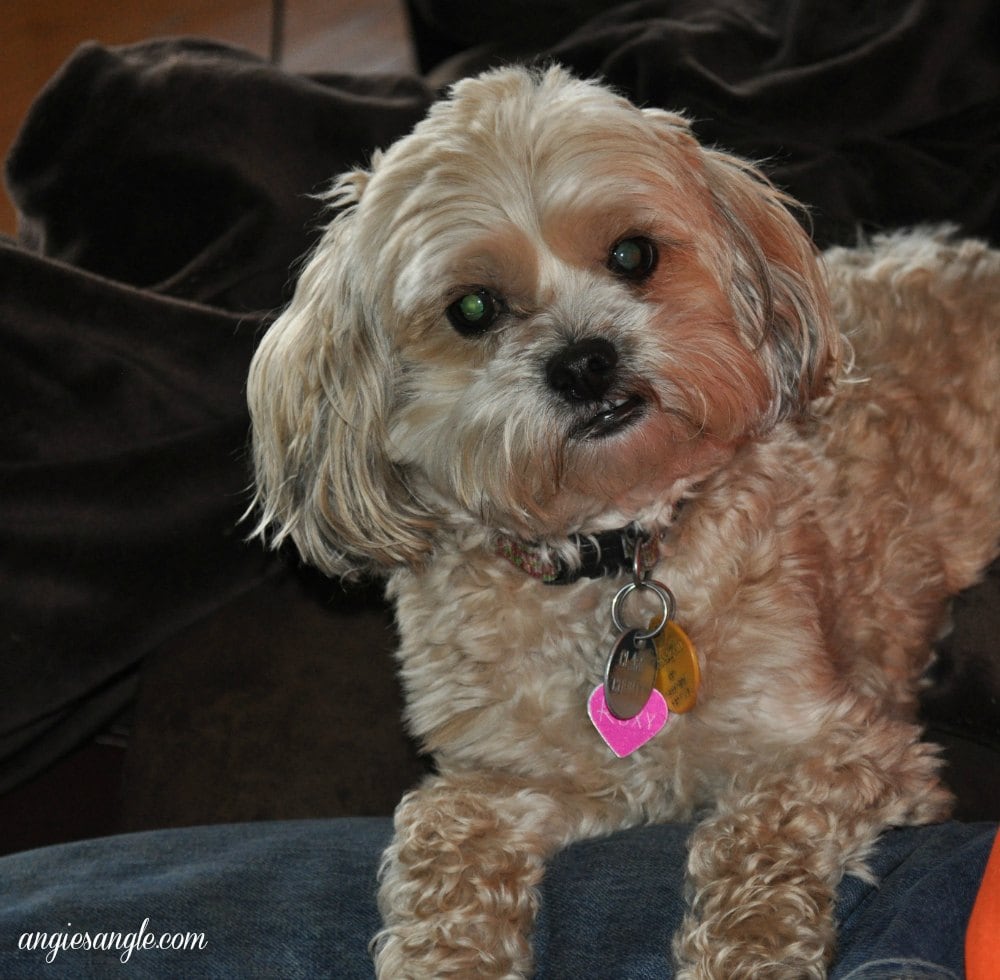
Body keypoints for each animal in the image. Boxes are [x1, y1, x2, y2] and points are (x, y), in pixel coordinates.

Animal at [244, 65, 1000, 976]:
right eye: (472, 309)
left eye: (633, 254)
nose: (584, 361)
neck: (612, 552)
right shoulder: (523, 773)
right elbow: (442, 827)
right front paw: (443, 955)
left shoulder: (851, 749)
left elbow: (756, 831)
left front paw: (748, 950)